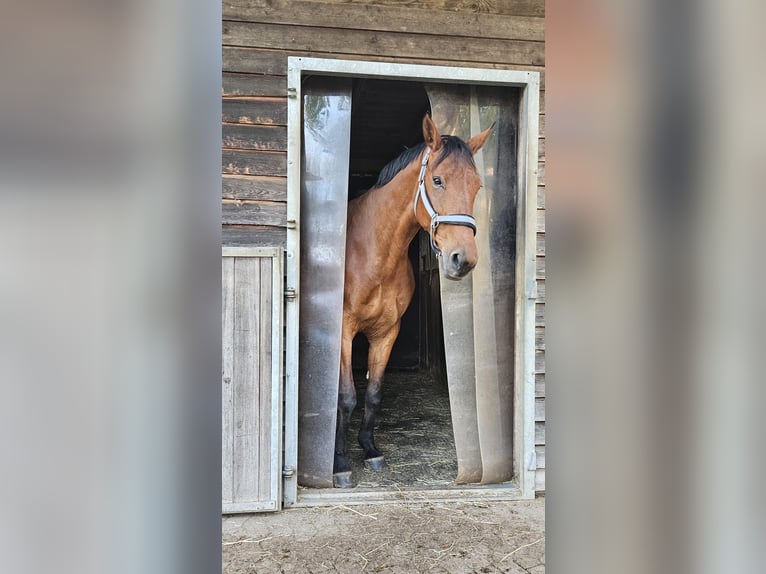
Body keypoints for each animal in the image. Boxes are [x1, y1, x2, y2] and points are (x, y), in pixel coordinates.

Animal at [333, 114, 493, 487]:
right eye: (437, 180)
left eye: (477, 185)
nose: (462, 259)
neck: (373, 251)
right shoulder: (344, 330)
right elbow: (346, 397)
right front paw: (340, 463)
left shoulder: (387, 332)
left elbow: (374, 393)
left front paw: (370, 450)